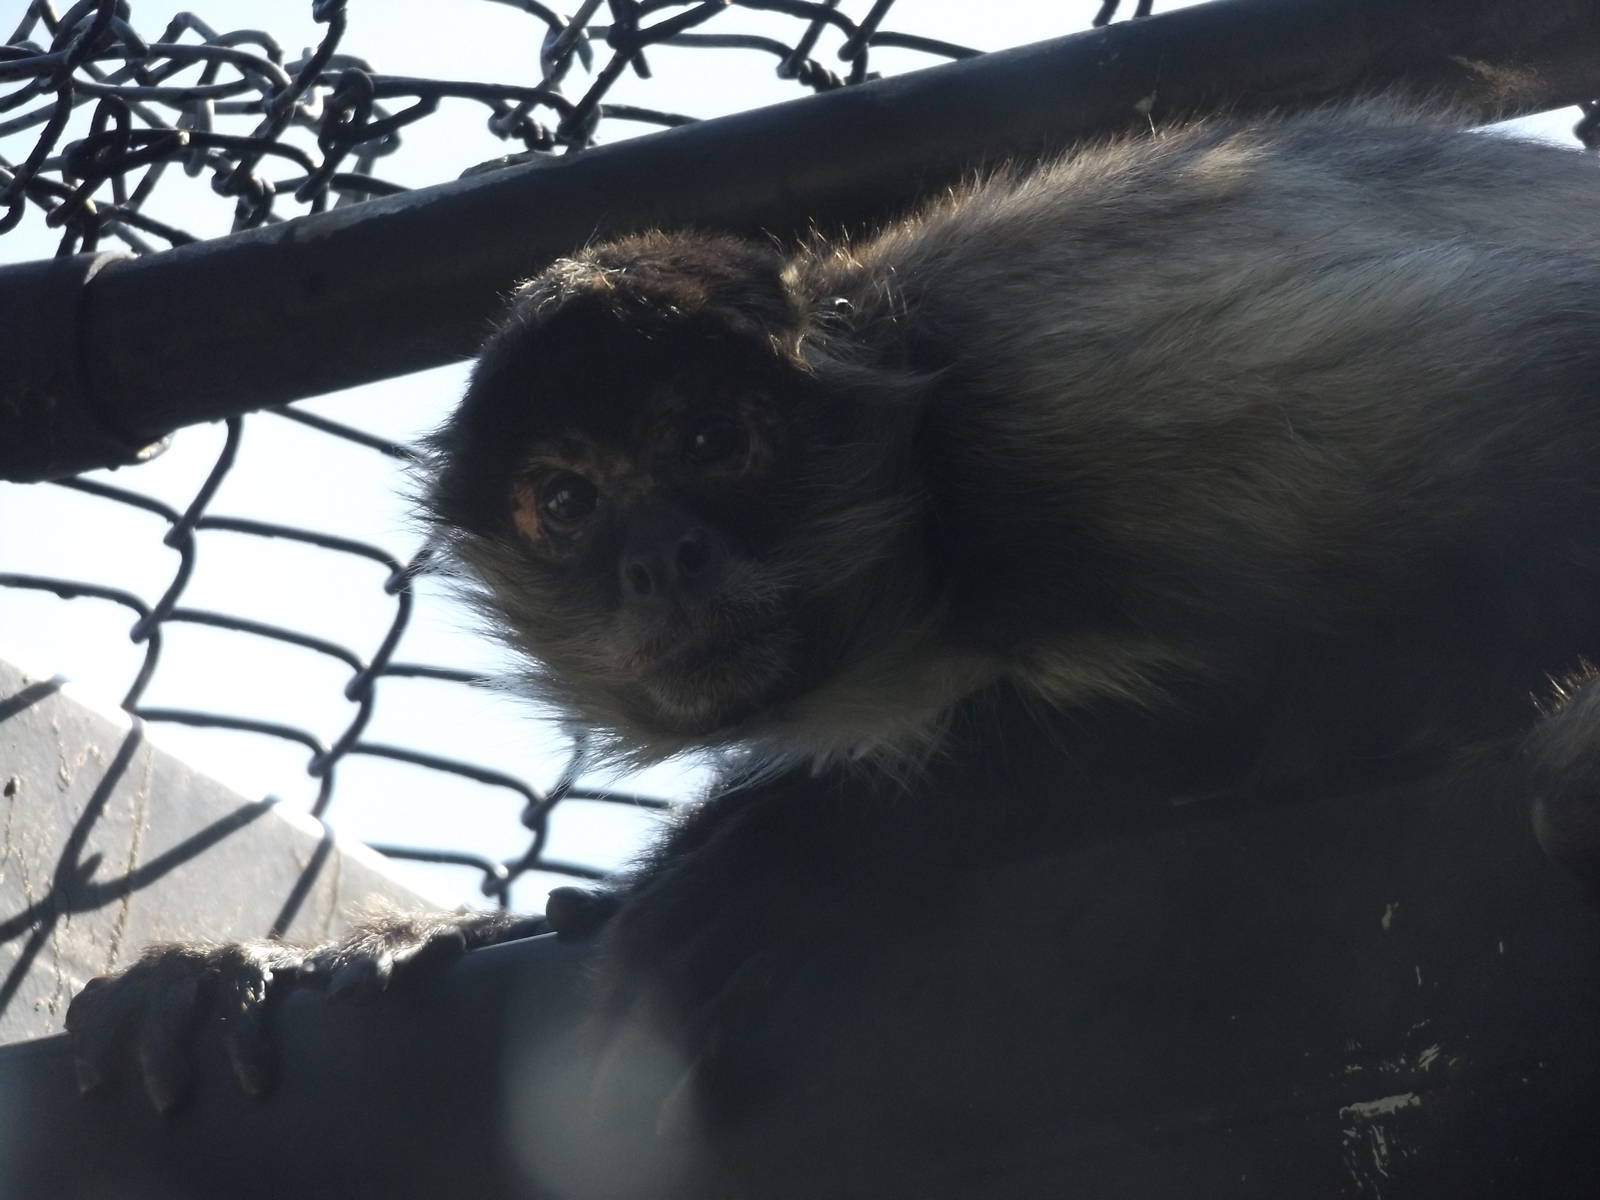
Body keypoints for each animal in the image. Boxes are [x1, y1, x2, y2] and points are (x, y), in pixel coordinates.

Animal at [63, 101, 1600, 1181]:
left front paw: (826, 839)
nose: (658, 557)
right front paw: (330, 959)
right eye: (566, 500)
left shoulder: (1071, 381)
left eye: (708, 442)